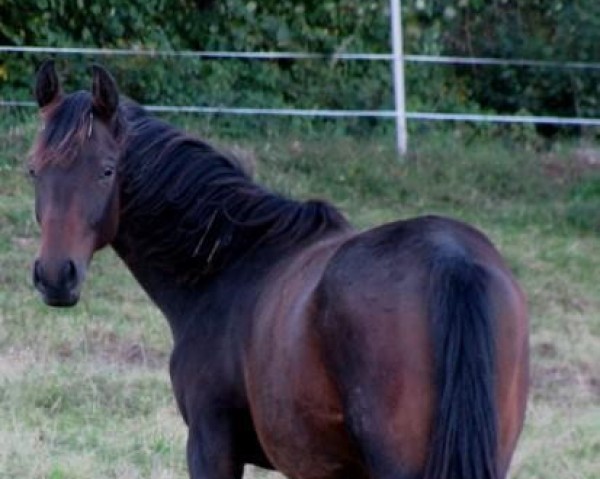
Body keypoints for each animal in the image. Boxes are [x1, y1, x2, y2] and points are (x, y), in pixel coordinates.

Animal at [28, 60, 528, 479]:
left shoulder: (210, 445)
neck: (230, 264)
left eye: (107, 170)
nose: (55, 276)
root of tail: (450, 255)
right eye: (33, 170)